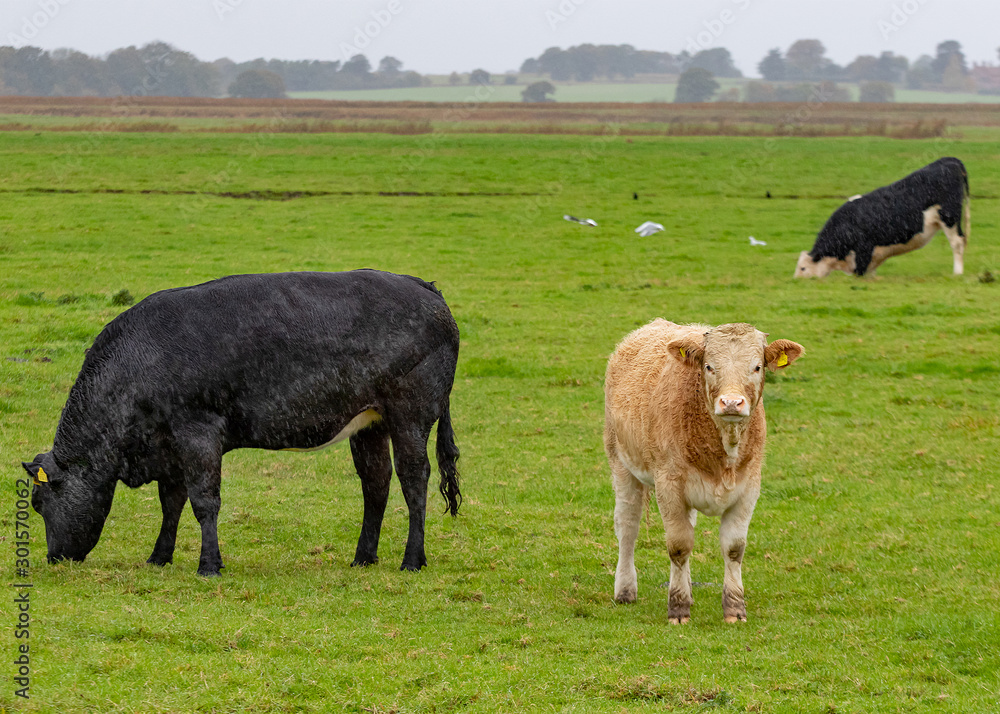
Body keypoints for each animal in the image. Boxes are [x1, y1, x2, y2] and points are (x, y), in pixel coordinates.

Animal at [22, 270, 462, 576]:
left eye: (38, 502)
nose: (54, 557)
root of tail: (422, 286)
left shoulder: (198, 432)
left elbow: (203, 502)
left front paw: (209, 565)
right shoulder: (168, 444)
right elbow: (171, 502)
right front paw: (159, 557)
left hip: (410, 414)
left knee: (414, 479)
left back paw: (412, 559)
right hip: (370, 423)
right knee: (376, 483)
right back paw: (363, 557)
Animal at [604, 320, 803, 623]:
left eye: (757, 366)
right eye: (709, 366)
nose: (731, 403)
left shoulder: (749, 488)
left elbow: (733, 548)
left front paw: (734, 608)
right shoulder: (668, 484)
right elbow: (678, 545)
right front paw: (678, 608)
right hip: (621, 463)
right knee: (627, 525)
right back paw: (625, 591)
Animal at [794, 157, 970, 278]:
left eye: (803, 268)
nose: (795, 281)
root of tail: (948, 160)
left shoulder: (864, 250)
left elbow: (860, 272)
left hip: (949, 219)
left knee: (957, 243)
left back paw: (957, 273)